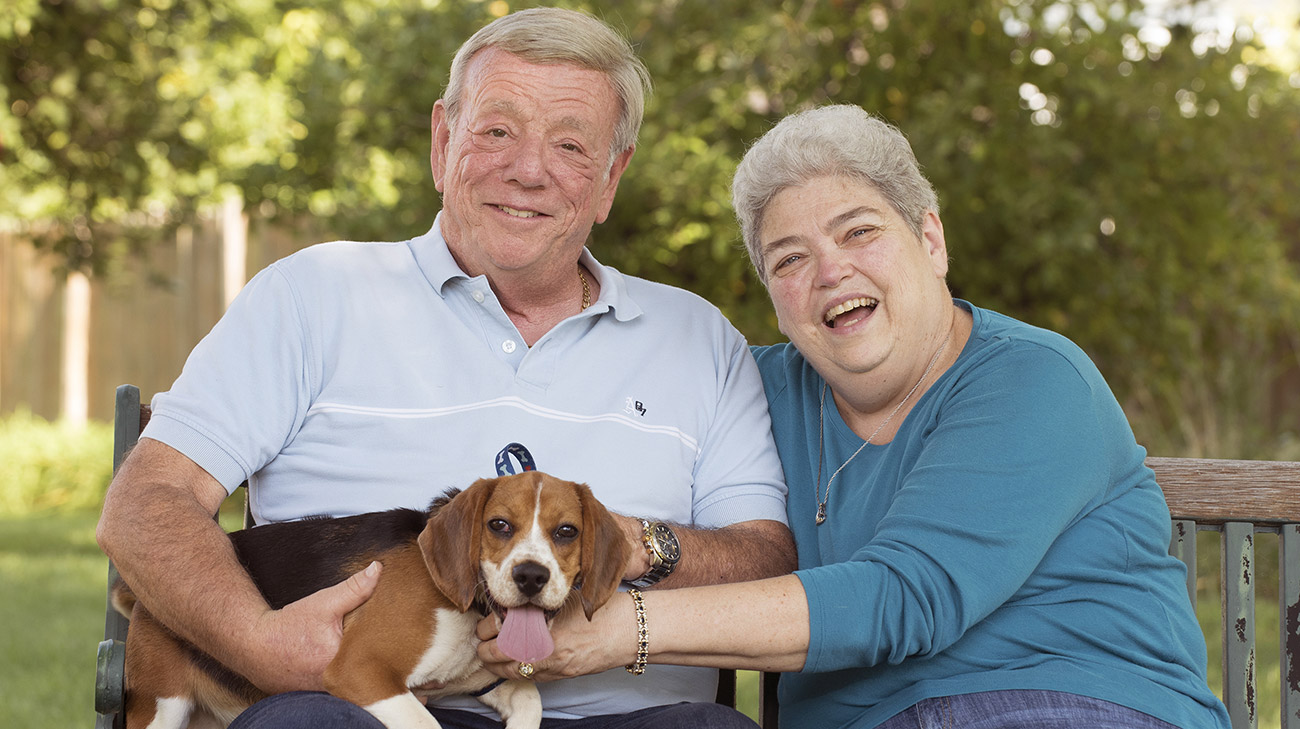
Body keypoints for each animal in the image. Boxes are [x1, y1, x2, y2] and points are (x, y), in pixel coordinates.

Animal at [114, 467, 631, 722]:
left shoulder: (480, 680)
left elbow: (528, 699)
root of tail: (136, 597)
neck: (466, 607)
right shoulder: (362, 671)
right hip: (163, 704)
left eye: (566, 532)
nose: (531, 576)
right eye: (499, 525)